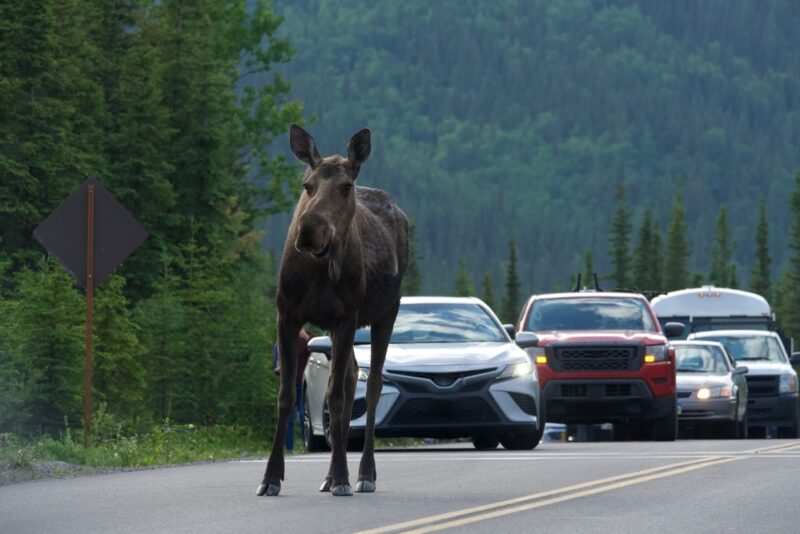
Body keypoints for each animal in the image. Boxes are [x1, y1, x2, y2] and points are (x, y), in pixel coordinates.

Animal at [260, 124, 410, 498]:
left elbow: (339, 396)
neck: (318, 269)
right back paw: (328, 476)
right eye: (307, 185)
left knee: (371, 385)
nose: (309, 229)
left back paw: (364, 474)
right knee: (349, 376)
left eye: (345, 186)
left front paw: (343, 476)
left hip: (386, 311)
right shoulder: (287, 315)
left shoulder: (346, 317)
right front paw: (271, 477)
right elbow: (287, 394)